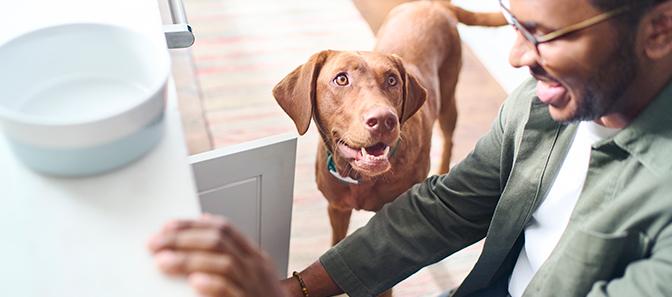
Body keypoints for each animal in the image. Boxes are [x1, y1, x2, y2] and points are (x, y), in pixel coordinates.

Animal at [272, 0, 504, 262]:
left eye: (392, 80)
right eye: (341, 79)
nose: (384, 120)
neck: (360, 178)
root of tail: (433, 4)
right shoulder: (337, 208)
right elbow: (337, 244)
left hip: (448, 98)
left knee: (448, 137)